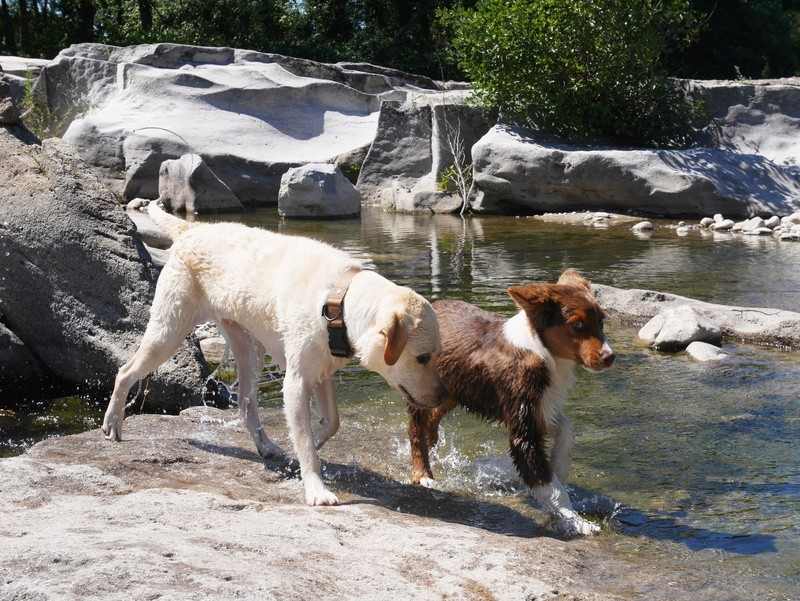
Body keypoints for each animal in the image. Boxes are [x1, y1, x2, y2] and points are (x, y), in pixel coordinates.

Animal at [410, 270, 616, 536]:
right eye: (577, 325)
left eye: (602, 321)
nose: (610, 357)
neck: (540, 351)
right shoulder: (523, 428)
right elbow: (551, 487)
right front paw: (577, 522)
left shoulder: (541, 407)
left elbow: (567, 429)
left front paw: (559, 464)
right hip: (417, 385)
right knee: (416, 428)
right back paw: (422, 473)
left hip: (454, 390)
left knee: (433, 416)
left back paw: (433, 443)